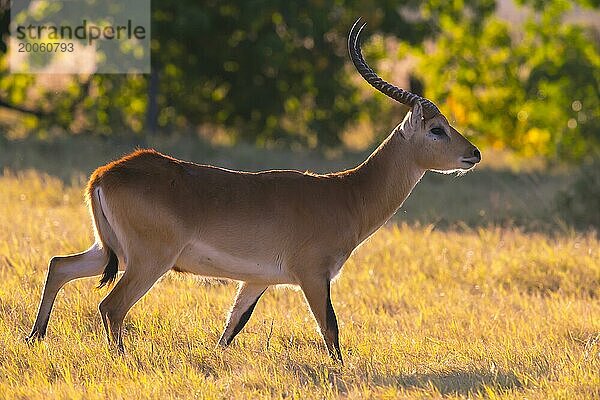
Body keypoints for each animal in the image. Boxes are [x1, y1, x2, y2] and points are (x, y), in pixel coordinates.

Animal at [27, 19, 482, 362]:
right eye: (436, 128)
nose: (474, 154)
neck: (346, 195)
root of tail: (105, 173)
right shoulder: (313, 275)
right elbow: (331, 330)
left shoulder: (257, 280)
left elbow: (231, 328)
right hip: (147, 261)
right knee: (111, 306)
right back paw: (121, 359)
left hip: (110, 251)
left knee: (58, 265)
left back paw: (34, 338)